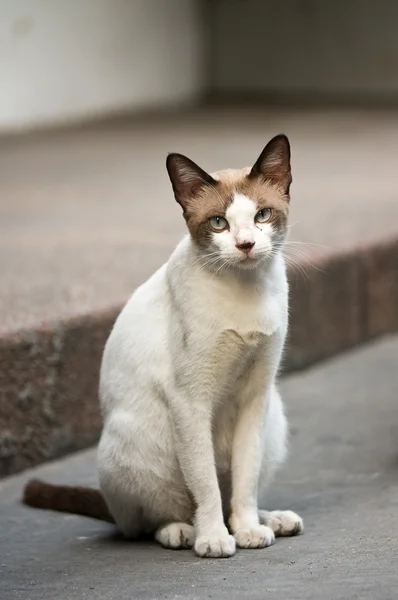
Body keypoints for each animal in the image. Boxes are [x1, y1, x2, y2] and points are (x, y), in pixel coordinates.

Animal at [23, 132, 302, 556]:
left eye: (262, 216)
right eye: (218, 222)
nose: (246, 244)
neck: (245, 291)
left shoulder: (256, 396)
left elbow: (245, 480)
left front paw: (249, 529)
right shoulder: (190, 401)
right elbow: (204, 482)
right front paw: (213, 540)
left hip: (274, 416)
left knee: (234, 492)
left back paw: (268, 520)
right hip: (135, 442)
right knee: (148, 520)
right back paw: (183, 531)